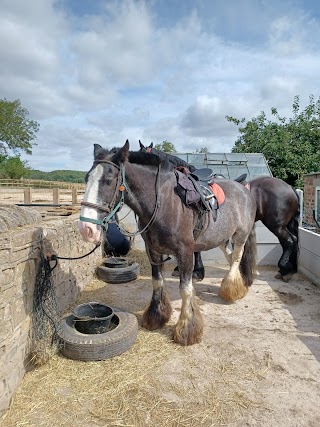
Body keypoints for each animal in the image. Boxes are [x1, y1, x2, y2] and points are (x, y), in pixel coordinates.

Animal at [78, 142, 258, 346]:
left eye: (108, 180)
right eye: (87, 178)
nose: (86, 228)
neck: (163, 201)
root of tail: (244, 188)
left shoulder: (185, 252)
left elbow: (186, 290)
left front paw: (187, 330)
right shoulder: (153, 250)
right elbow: (157, 282)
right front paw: (157, 317)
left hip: (241, 234)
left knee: (236, 258)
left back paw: (232, 289)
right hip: (222, 238)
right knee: (230, 256)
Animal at [139, 142, 300, 282]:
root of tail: (290, 188)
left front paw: (196, 272)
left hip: (276, 225)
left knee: (290, 241)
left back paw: (284, 269)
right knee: (289, 242)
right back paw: (286, 270)